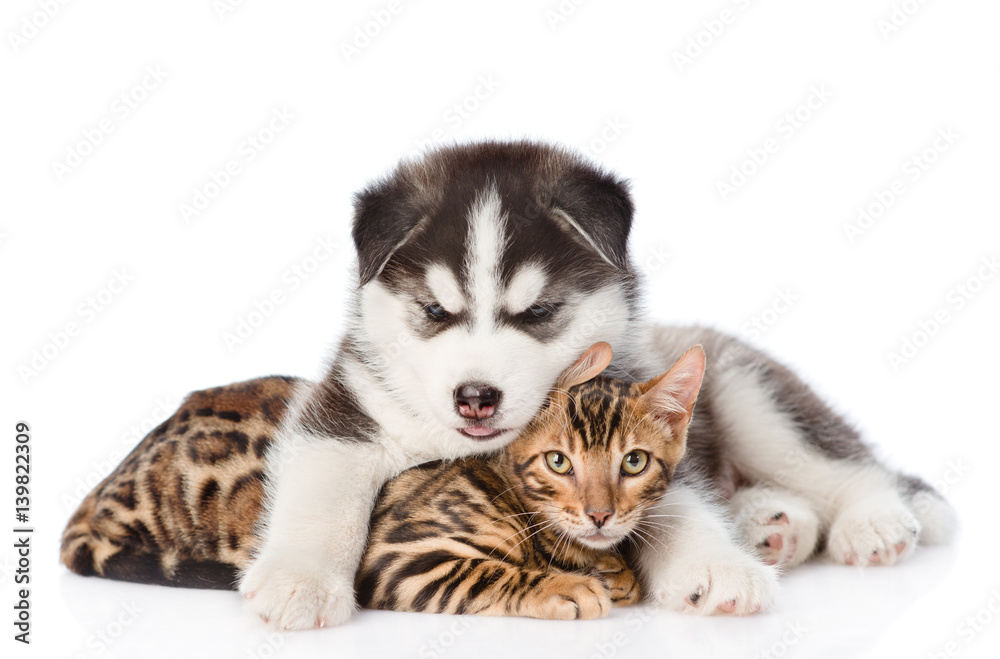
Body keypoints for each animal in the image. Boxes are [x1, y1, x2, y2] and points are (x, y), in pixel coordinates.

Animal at [62, 342, 708, 620]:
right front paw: (564, 585)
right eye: (558, 463)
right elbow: (491, 573)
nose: (600, 515)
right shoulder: (401, 555)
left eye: (633, 463)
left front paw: (610, 570)